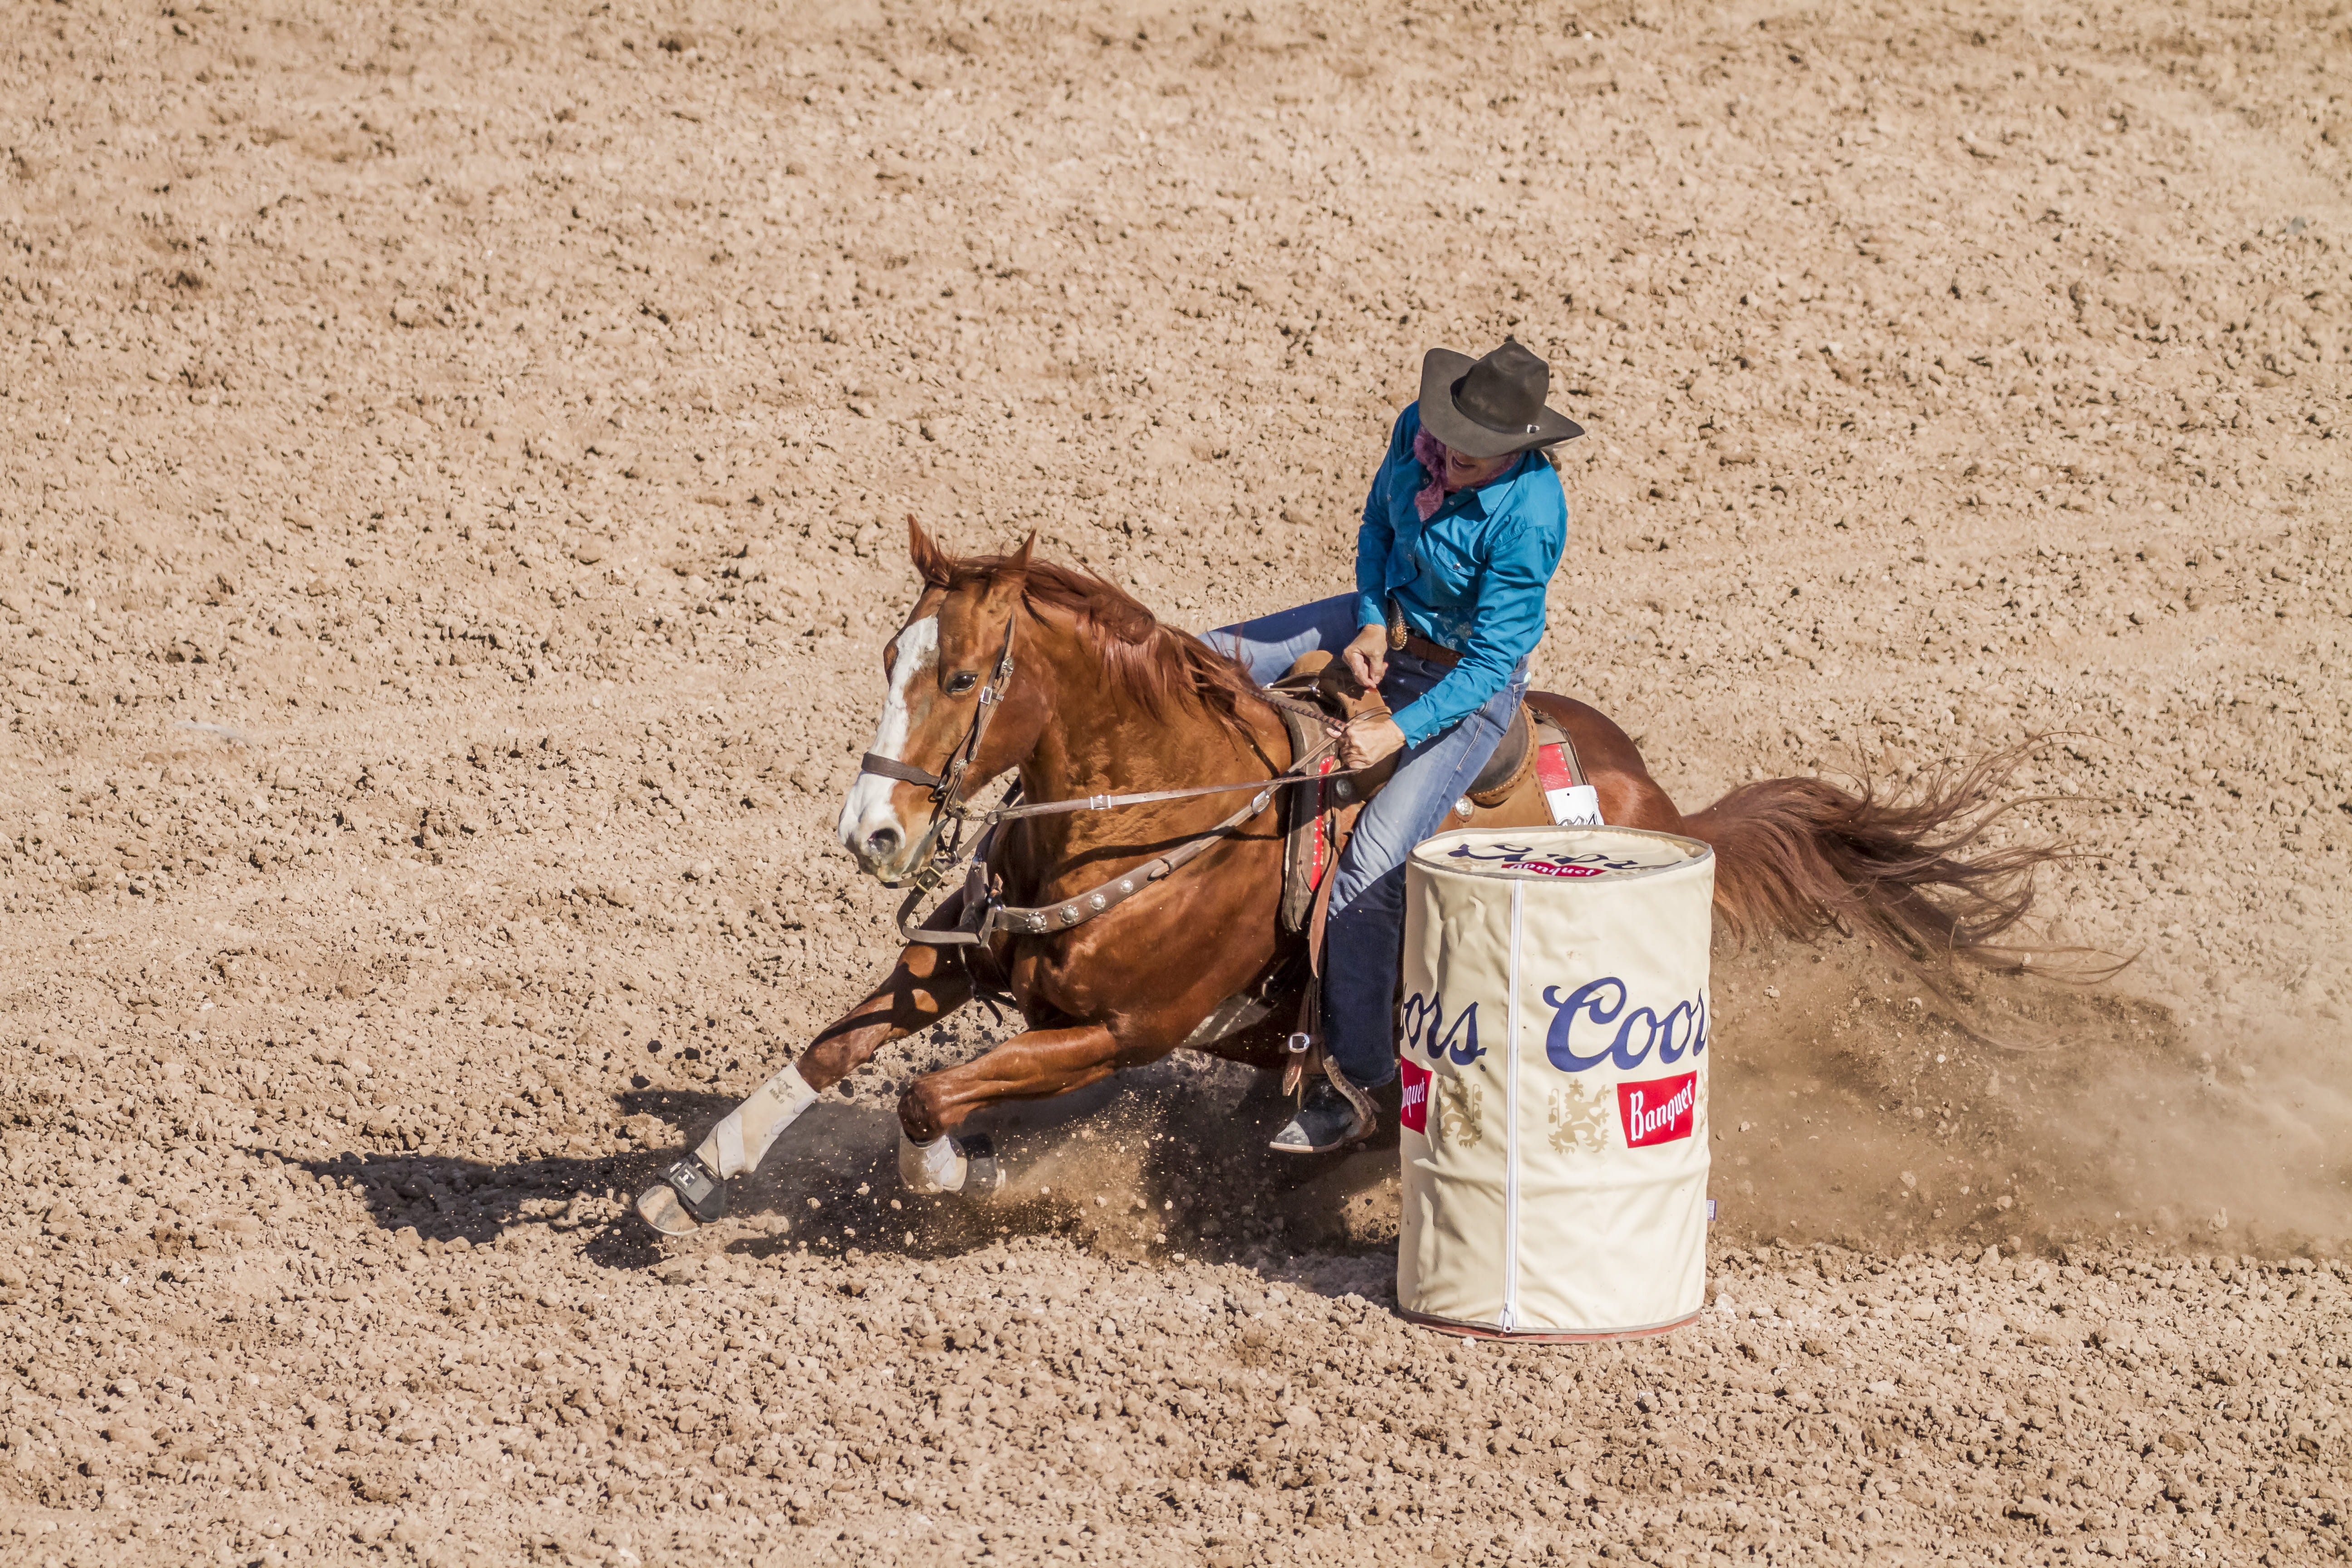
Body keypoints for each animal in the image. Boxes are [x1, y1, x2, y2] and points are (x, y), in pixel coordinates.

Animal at [633, 522, 2057, 1233]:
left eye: (968, 674)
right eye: (890, 652)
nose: (872, 832)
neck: (1149, 810)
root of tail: (1656, 798)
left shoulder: (1115, 1029)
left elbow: (927, 1097)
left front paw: (966, 1176)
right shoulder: (968, 957)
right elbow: (829, 1050)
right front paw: (686, 1180)